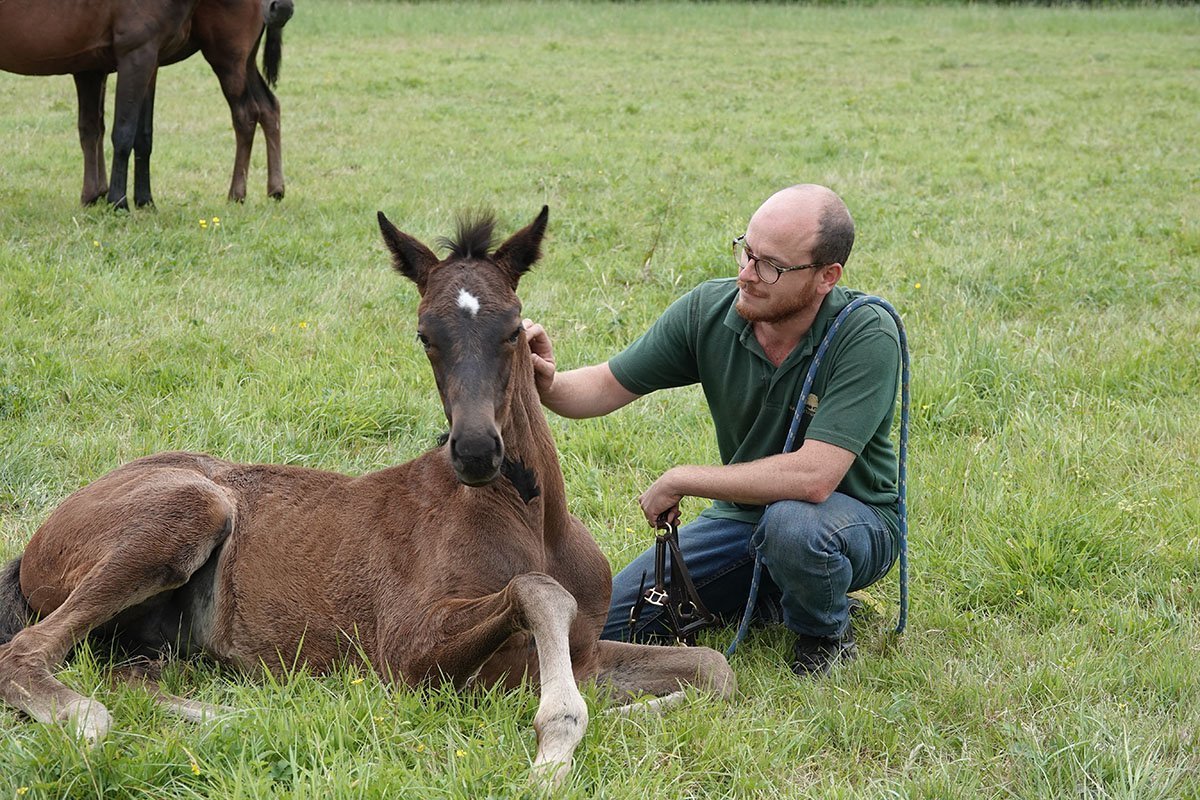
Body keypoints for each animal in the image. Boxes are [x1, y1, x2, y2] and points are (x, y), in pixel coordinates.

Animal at [0, 0, 292, 209]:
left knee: (253, 112)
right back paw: (257, 192)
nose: (282, 8)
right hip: (232, 59)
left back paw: (251, 192)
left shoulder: (138, 60)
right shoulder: (133, 58)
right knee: (259, 111)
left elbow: (130, 134)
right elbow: (120, 133)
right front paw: (120, 202)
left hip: (232, 58)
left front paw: (132, 200)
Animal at [0, 206, 735, 786]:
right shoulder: (406, 656)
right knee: (28, 654)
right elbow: (535, 592)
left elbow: (713, 670)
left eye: (512, 328)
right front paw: (553, 747)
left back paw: (246, 713)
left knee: (130, 674)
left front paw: (628, 715)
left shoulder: (588, 651)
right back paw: (92, 725)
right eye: (425, 335)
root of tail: (35, 543)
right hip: (189, 510)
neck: (533, 524)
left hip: (150, 638)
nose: (475, 451)